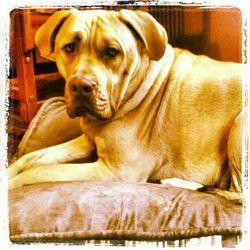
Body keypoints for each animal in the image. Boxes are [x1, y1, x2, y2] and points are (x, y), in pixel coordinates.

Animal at [8, 8, 244, 203]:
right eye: (70, 47)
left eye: (112, 51)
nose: (81, 86)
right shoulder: (86, 141)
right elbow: (30, 158)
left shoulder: (115, 171)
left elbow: (42, 171)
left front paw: (12, 183)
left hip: (240, 125)